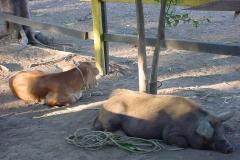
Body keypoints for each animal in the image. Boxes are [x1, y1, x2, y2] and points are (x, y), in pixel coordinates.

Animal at [94, 89, 234, 153]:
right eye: (212, 135)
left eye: (222, 132)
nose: (230, 148)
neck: (190, 123)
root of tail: (104, 105)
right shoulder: (170, 133)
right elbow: (182, 143)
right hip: (113, 118)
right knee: (109, 130)